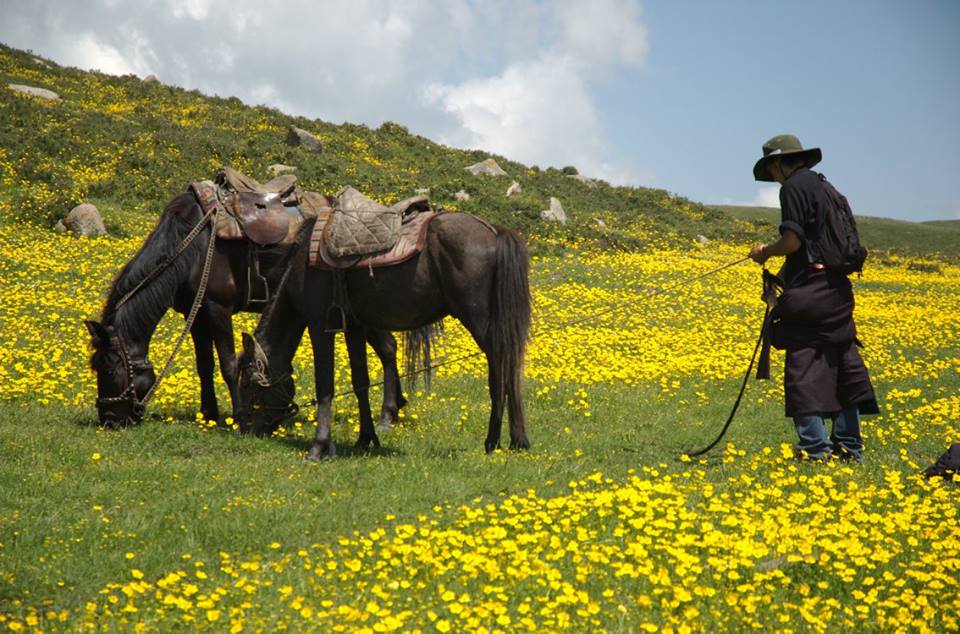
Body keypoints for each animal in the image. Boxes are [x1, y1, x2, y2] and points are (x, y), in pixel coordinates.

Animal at [83, 190, 408, 428]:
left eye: (109, 369)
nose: (109, 421)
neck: (192, 245)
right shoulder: (196, 314)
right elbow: (204, 365)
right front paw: (209, 414)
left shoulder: (218, 308)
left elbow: (228, 364)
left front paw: (238, 417)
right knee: (388, 348)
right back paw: (397, 409)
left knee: (388, 348)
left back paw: (388, 413)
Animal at [234, 211, 532, 454]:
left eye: (247, 383)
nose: (246, 430)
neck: (302, 264)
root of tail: (494, 230)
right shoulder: (355, 327)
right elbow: (360, 382)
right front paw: (366, 439)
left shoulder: (319, 326)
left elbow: (325, 385)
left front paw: (319, 447)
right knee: (510, 367)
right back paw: (518, 440)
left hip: (478, 319)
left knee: (500, 369)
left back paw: (493, 440)